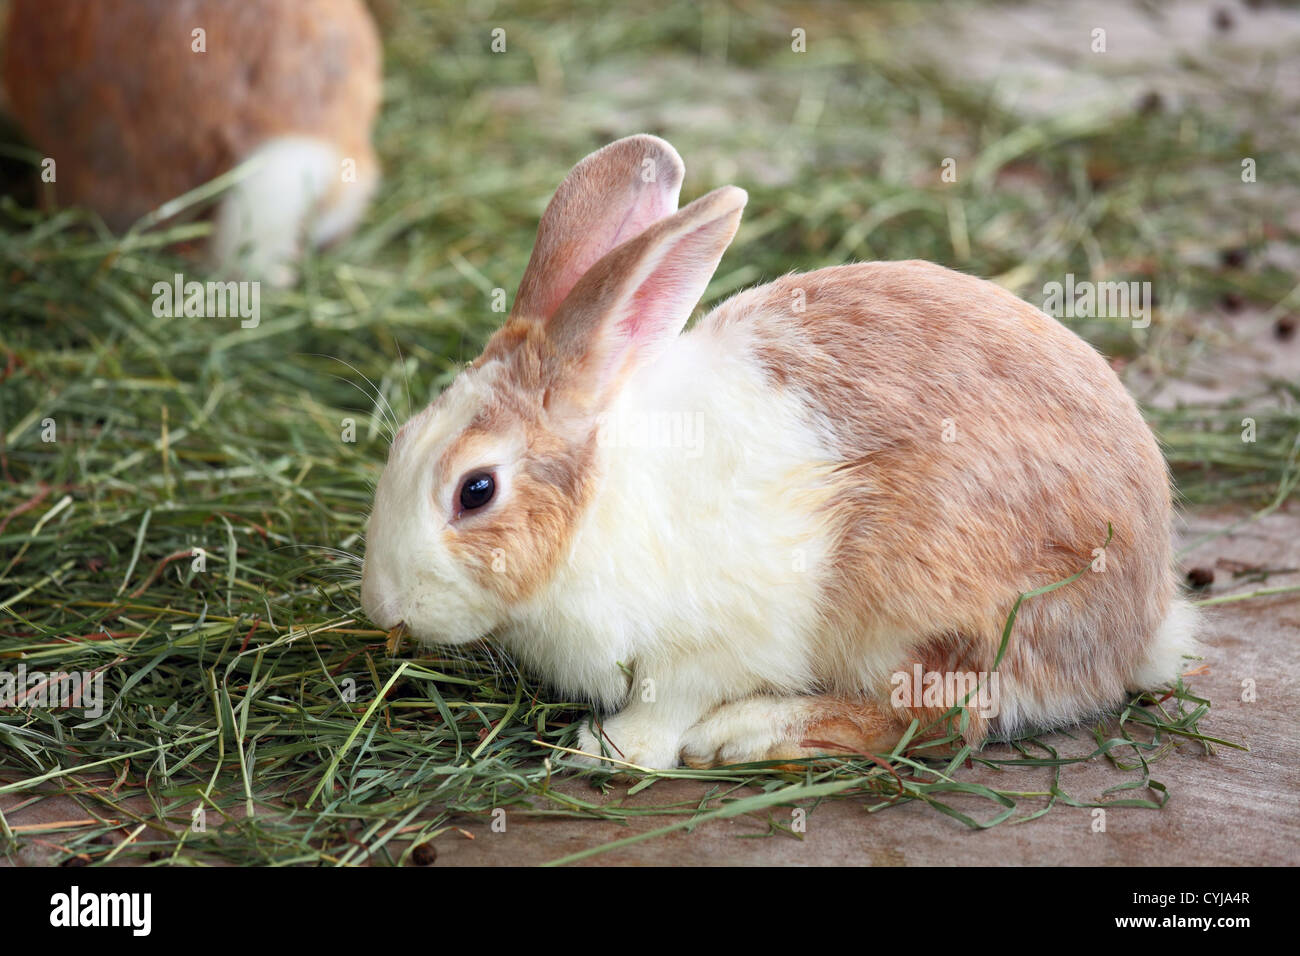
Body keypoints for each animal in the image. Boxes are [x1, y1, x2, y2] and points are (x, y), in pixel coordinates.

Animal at [360, 134, 1198, 770]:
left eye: (475, 490)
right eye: (399, 441)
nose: (382, 607)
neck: (599, 504)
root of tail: (1141, 623)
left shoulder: (710, 645)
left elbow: (669, 704)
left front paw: (607, 750)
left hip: (937, 611)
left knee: (941, 720)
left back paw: (747, 735)